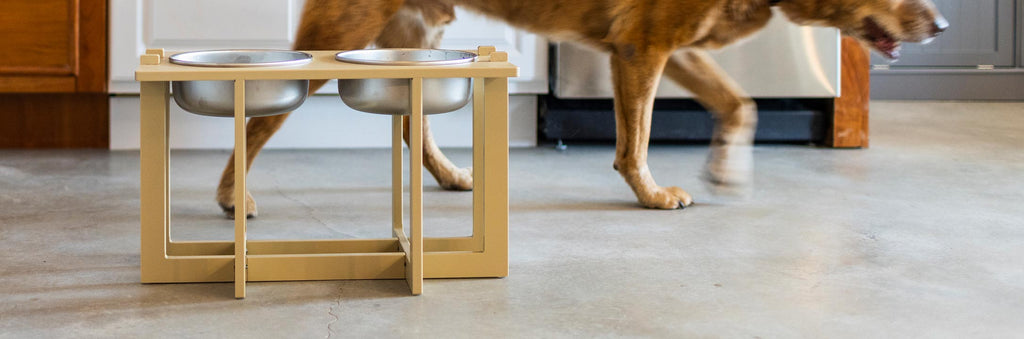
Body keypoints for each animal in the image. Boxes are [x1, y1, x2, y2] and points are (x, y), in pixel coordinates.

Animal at [214, 0, 942, 218]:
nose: (941, 24)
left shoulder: (671, 46)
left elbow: (742, 105)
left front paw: (725, 168)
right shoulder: (643, 47)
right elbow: (635, 141)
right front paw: (652, 195)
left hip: (416, 44)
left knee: (410, 130)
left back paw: (450, 177)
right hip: (333, 40)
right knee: (259, 117)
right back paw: (229, 195)